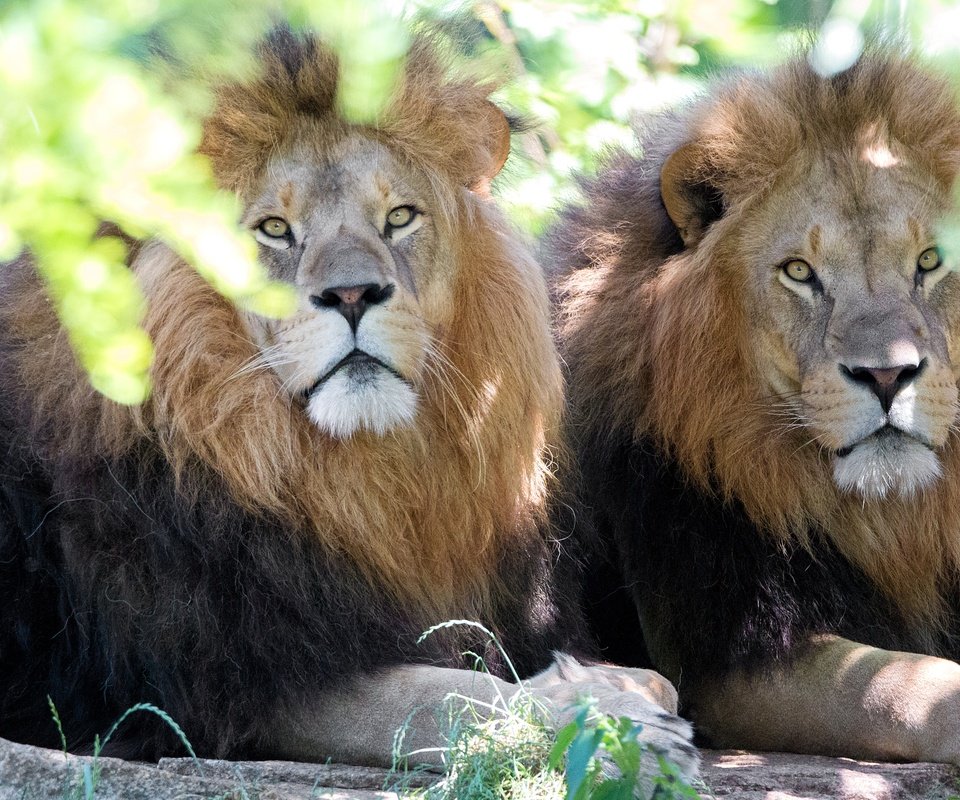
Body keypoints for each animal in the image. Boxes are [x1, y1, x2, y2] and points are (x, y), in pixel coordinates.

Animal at [0, 26, 692, 780]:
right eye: (274, 229)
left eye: (399, 218)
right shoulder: (236, 681)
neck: (352, 474)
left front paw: (621, 681)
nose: (354, 294)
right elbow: (447, 697)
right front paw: (616, 724)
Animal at [552, 50, 960, 764]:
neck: (892, 520)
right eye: (799, 272)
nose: (888, 374)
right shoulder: (730, 656)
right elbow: (909, 687)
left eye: (931, 261)